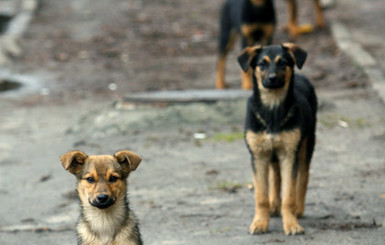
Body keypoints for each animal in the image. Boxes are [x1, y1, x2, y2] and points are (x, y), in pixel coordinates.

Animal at [238, 43, 316, 234]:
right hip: (272, 155)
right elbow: (261, 196)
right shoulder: (258, 156)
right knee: (275, 177)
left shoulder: (289, 155)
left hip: (306, 146)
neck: (273, 109)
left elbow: (289, 195)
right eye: (262, 64)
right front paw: (260, 223)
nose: (272, 79)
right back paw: (274, 206)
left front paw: (291, 224)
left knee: (303, 178)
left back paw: (298, 209)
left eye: (283, 63)